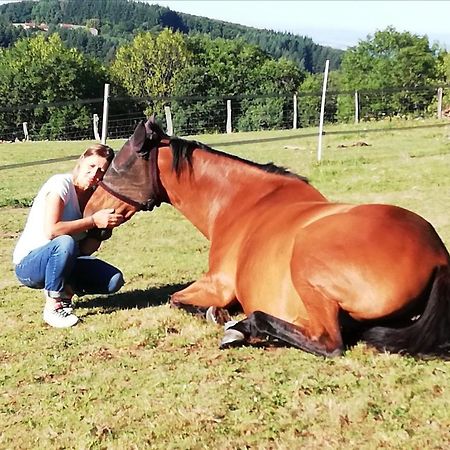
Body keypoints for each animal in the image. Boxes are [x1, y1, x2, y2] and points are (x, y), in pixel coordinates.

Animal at [84, 117, 450, 358]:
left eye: (117, 166)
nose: (89, 209)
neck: (239, 201)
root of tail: (437, 256)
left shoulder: (217, 284)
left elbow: (175, 299)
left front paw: (219, 316)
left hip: (307, 266)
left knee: (328, 343)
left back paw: (244, 329)